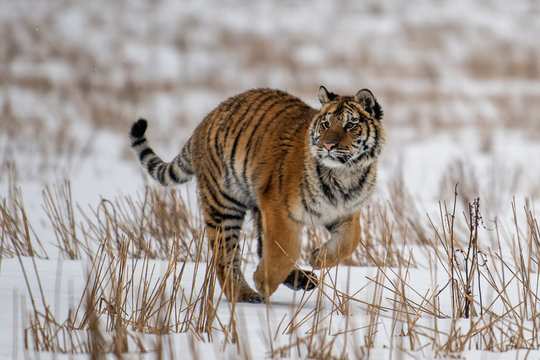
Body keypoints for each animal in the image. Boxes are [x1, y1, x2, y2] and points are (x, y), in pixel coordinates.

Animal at [129, 86, 386, 302]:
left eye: (350, 125)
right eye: (325, 124)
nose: (328, 146)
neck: (346, 174)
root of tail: (203, 123)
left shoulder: (345, 211)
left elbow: (350, 241)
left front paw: (318, 258)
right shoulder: (278, 207)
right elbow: (285, 248)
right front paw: (264, 283)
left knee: (260, 249)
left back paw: (302, 279)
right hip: (224, 205)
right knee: (225, 258)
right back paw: (246, 294)